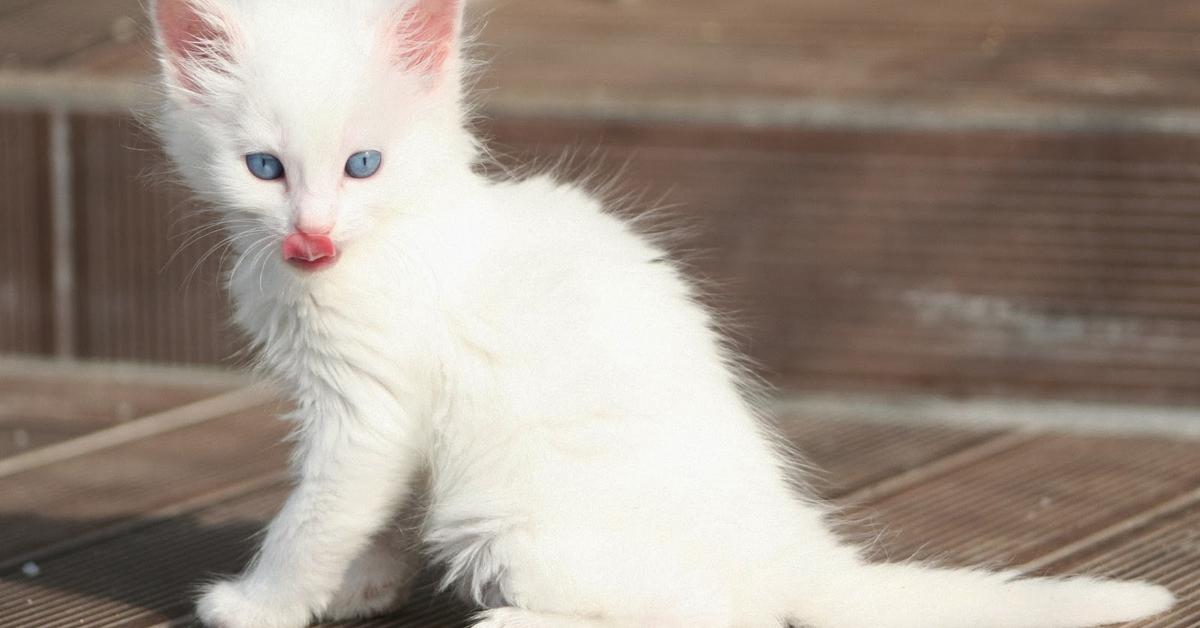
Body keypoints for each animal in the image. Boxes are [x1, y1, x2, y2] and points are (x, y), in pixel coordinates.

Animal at [147, 1, 1171, 628]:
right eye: (264, 170)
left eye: (363, 165)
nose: (311, 233)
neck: (387, 236)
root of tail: (794, 546)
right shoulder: (372, 418)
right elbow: (371, 513)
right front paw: (365, 586)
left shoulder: (368, 407)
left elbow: (317, 514)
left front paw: (261, 601)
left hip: (510, 521)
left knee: (729, 616)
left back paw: (517, 622)